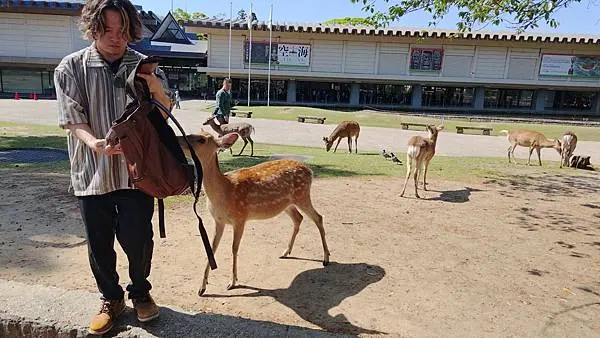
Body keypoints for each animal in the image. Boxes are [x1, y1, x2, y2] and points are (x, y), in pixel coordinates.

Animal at [178, 132, 330, 296]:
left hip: (302, 195)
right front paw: (202, 288)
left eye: (202, 139)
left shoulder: (240, 218)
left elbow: (234, 248)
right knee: (298, 218)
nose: (178, 139)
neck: (224, 191)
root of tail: (310, 171)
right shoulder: (218, 220)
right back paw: (285, 252)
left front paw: (232, 282)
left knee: (318, 217)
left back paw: (326, 258)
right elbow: (211, 249)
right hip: (287, 204)